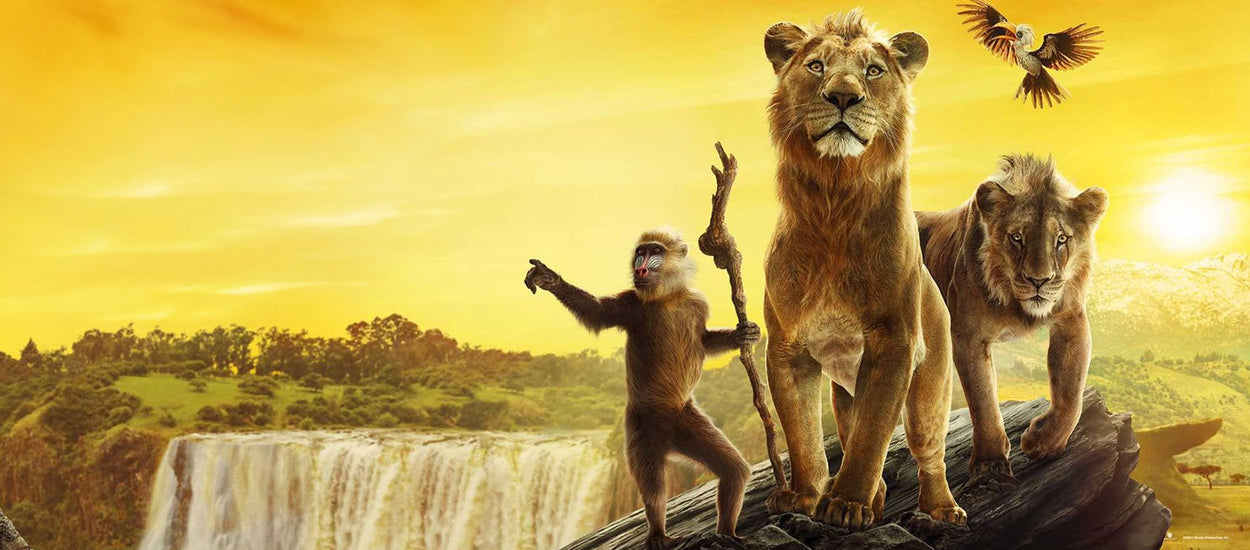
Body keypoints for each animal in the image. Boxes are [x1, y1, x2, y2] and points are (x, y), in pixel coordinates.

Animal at [760, 10, 966, 529]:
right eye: (815, 66)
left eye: (873, 71)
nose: (842, 96)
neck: (836, 201)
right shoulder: (788, 348)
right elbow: (804, 435)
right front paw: (805, 496)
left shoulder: (893, 343)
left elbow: (873, 436)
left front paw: (847, 504)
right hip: (844, 391)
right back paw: (873, 501)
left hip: (929, 390)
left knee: (928, 452)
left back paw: (941, 510)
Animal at [916, 154, 1108, 479]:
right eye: (1017, 237)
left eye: (1061, 239)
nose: (1038, 281)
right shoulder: (967, 336)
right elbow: (983, 400)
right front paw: (990, 462)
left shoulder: (1072, 321)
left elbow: (1071, 394)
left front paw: (1043, 443)